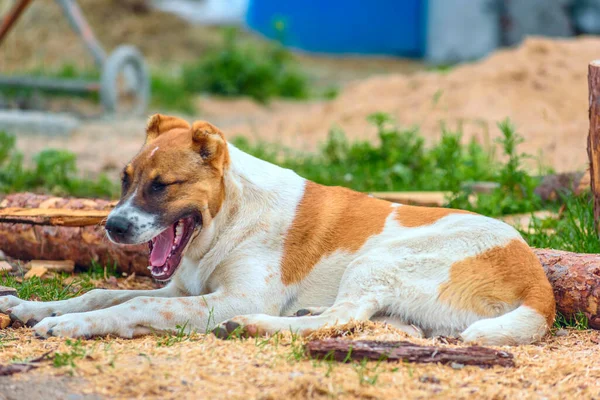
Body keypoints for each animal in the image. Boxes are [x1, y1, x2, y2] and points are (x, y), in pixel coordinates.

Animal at [0, 113, 556, 344]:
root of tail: (539, 286)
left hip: (381, 257)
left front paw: (70, 326)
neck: (231, 216)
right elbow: (100, 293)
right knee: (366, 322)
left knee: (344, 315)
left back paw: (254, 327)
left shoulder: (235, 296)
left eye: (162, 185)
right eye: (124, 179)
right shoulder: (184, 287)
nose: (113, 227)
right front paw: (34, 308)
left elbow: (137, 305)